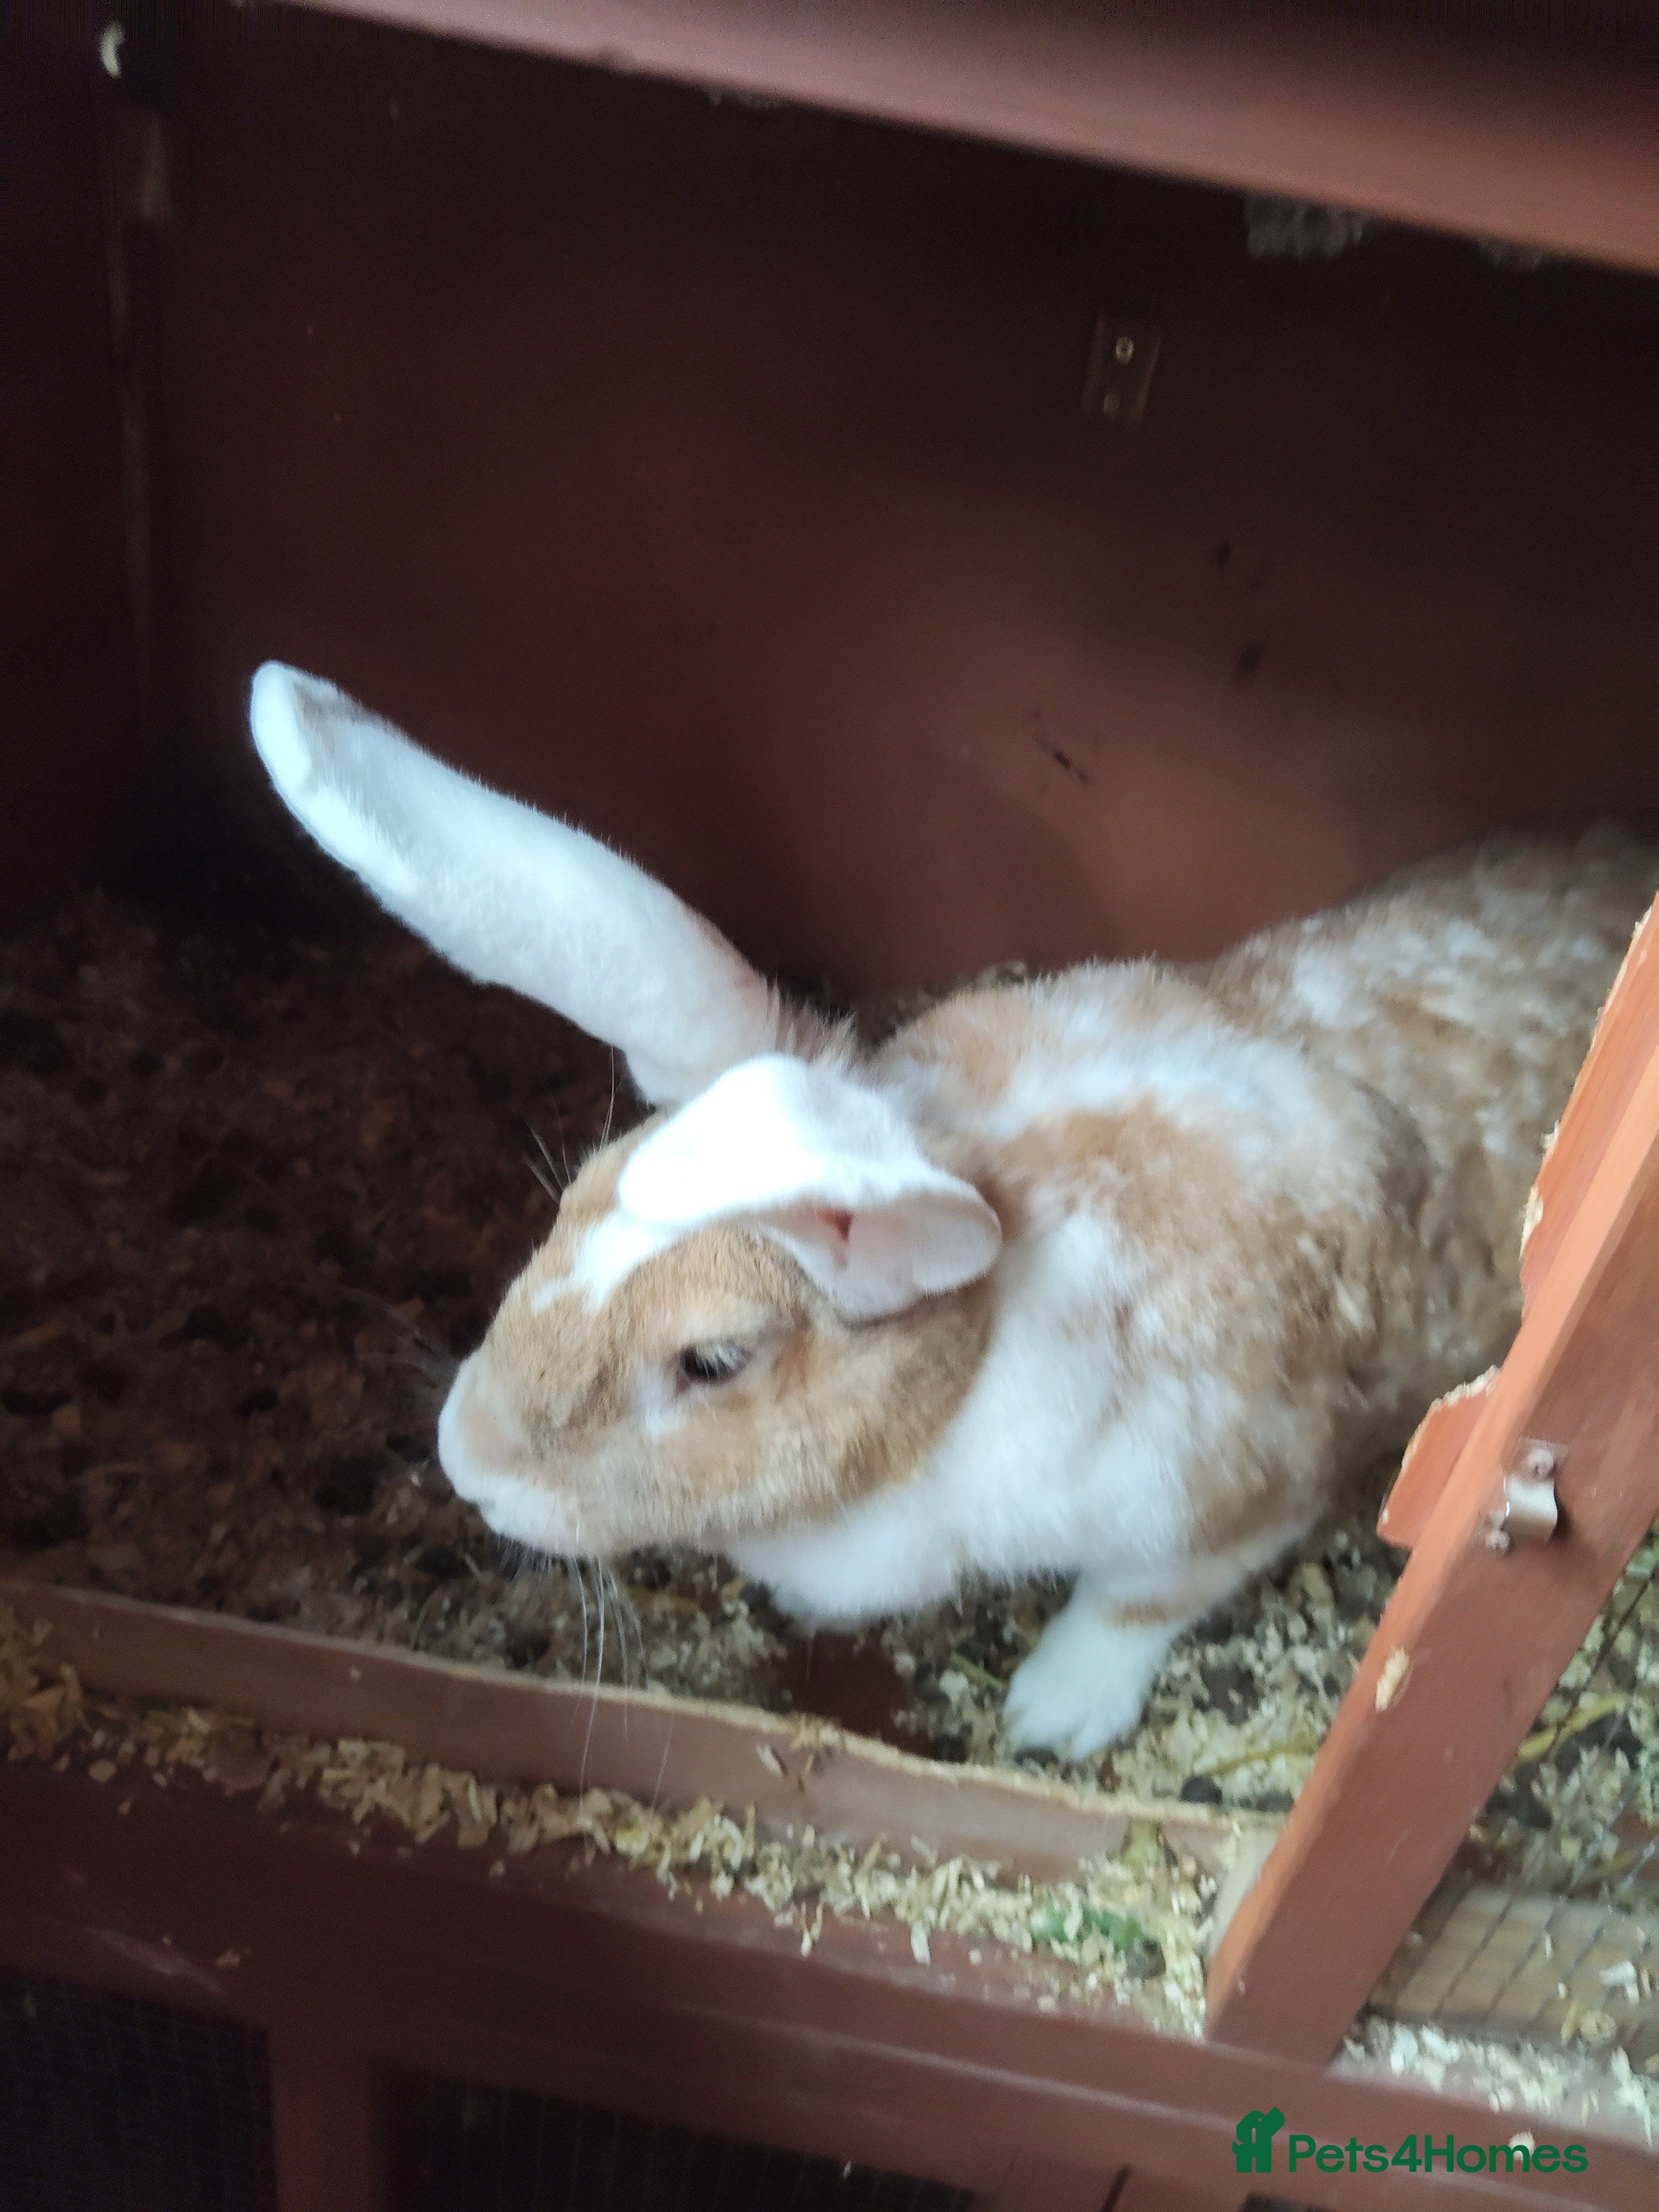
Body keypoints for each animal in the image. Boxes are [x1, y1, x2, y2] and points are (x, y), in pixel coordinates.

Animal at [249, 662, 1659, 1759]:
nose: (468, 1463)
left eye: (713, 1361)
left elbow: (1138, 1603)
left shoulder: (1234, 1496)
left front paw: (1053, 1714)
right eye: (568, 1206)